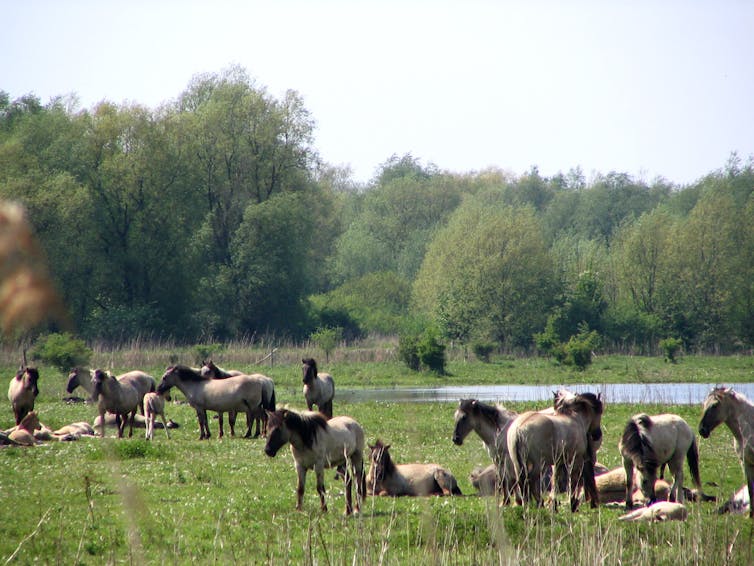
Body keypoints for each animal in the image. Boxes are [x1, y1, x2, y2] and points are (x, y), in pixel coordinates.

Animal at [699, 386, 754, 518]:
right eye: (704, 404)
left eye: (715, 405)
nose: (702, 430)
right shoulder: (745, 463)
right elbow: (751, 490)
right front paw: (750, 515)